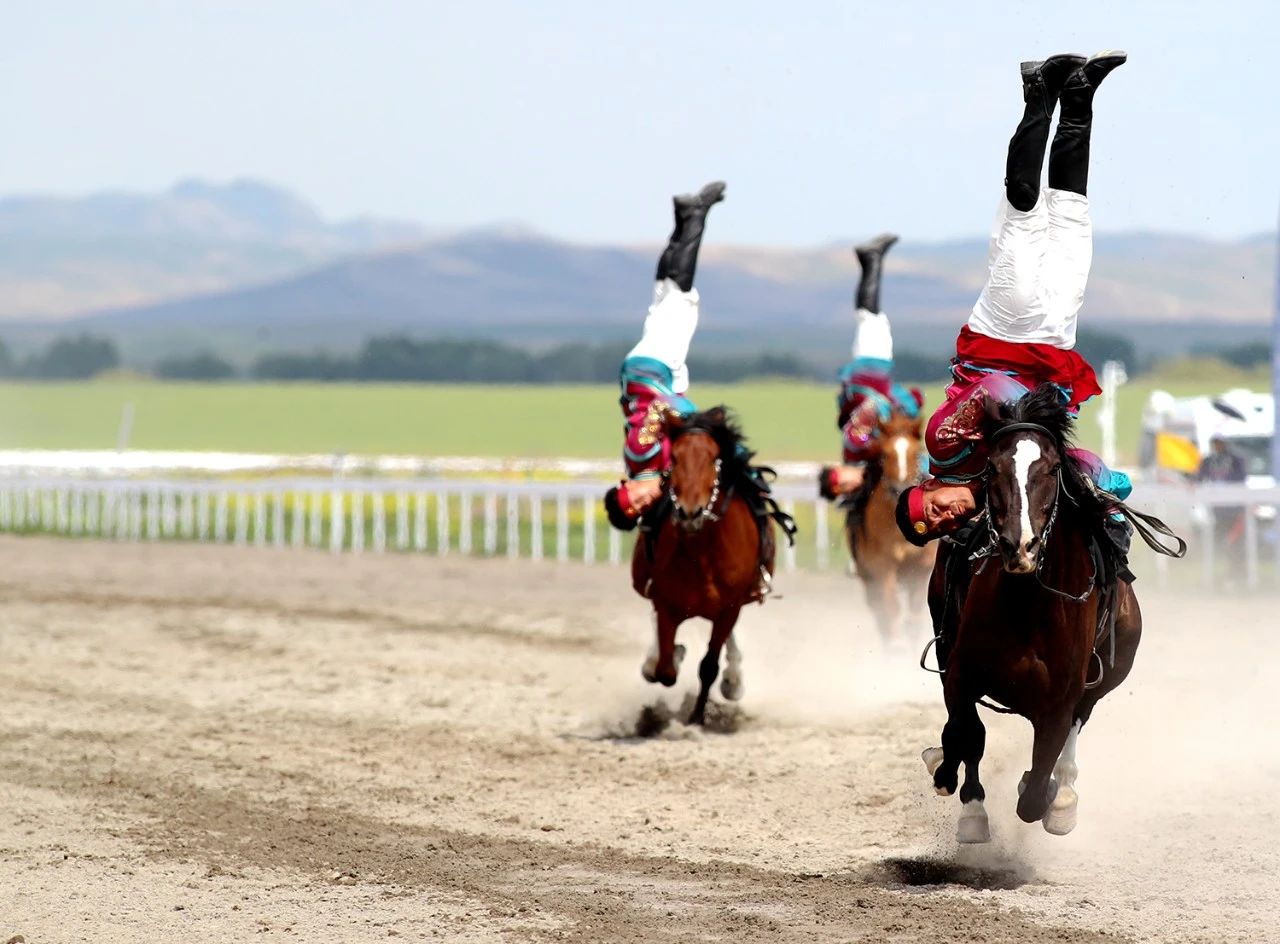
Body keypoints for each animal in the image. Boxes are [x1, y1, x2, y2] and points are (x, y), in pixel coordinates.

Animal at [844, 409, 936, 644]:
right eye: (885, 455)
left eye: (916, 453)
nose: (899, 489)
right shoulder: (882, 567)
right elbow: (890, 609)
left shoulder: (920, 568)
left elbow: (915, 615)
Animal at [921, 386, 1152, 844]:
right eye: (991, 467)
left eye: (1052, 468)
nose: (1020, 545)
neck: (1028, 609)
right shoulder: (961, 674)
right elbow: (967, 734)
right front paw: (967, 805)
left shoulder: (1061, 701)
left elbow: (1035, 790)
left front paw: (1047, 795)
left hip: (1108, 675)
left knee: (1076, 730)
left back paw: (1060, 796)